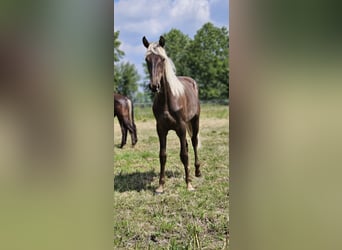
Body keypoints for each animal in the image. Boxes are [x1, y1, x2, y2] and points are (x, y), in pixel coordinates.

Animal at [142, 35, 200, 193]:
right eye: (147, 59)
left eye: (162, 59)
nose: (154, 86)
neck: (168, 101)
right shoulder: (161, 129)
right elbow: (163, 155)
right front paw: (160, 186)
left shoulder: (181, 127)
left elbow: (184, 155)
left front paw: (189, 185)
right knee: (187, 145)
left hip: (195, 121)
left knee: (194, 142)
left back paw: (197, 171)